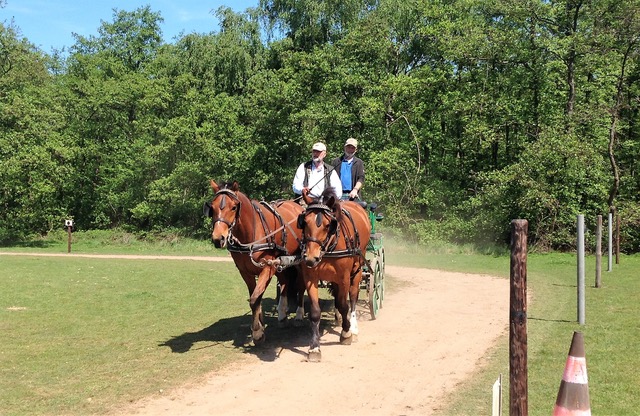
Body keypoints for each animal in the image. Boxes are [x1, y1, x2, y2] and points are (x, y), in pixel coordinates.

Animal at [204, 179, 306, 344]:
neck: (250, 234)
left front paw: (257, 331)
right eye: (212, 208)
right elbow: (256, 298)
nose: (218, 239)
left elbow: (254, 298)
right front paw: (259, 326)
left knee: (301, 284)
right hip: (281, 262)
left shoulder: (268, 267)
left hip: (300, 261)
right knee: (285, 281)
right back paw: (282, 314)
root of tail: (297, 206)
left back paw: (298, 315)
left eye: (234, 207)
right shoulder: (246, 272)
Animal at [298, 187, 372, 360]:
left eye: (327, 225)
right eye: (305, 222)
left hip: (357, 270)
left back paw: (353, 327)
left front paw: (346, 333)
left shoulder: (344, 277)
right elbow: (315, 312)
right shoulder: (310, 277)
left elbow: (345, 305)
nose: (310, 257)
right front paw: (314, 348)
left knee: (353, 297)